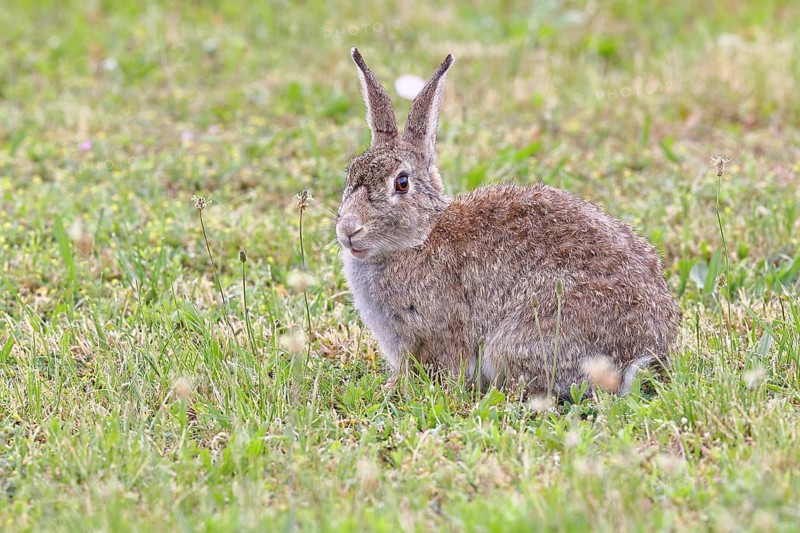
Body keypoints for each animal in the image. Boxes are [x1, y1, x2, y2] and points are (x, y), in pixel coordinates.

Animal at [336, 48, 680, 398]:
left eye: (402, 183)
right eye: (351, 175)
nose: (348, 230)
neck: (420, 237)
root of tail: (642, 354)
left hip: (521, 337)